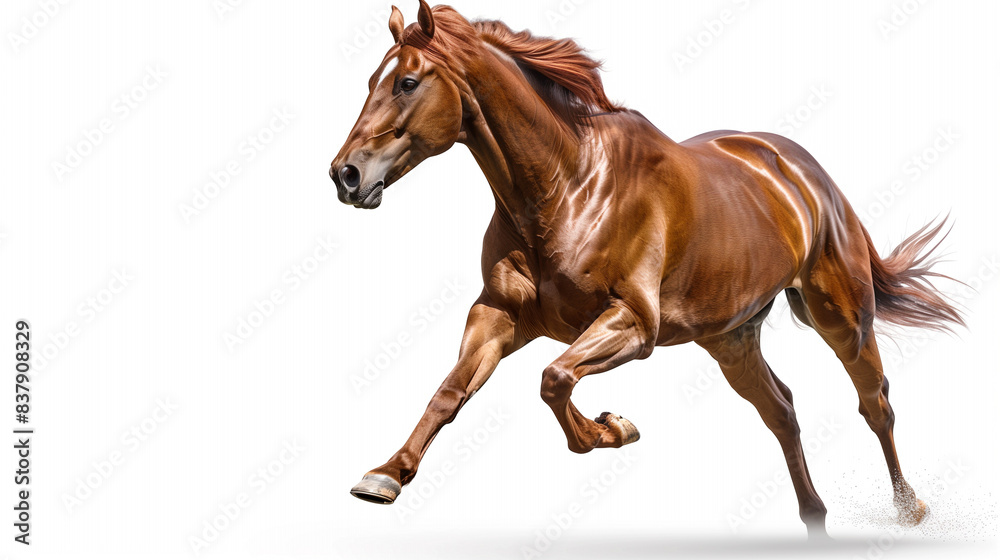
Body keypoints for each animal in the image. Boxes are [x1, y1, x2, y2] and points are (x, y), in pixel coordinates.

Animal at [329, 1, 963, 537]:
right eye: (371, 81)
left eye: (408, 82)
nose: (346, 175)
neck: (566, 188)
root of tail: (804, 171)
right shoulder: (499, 315)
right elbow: (451, 391)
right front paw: (386, 475)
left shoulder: (634, 324)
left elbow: (554, 379)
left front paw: (613, 427)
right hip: (731, 340)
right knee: (781, 410)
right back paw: (814, 518)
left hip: (842, 318)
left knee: (875, 403)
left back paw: (909, 509)